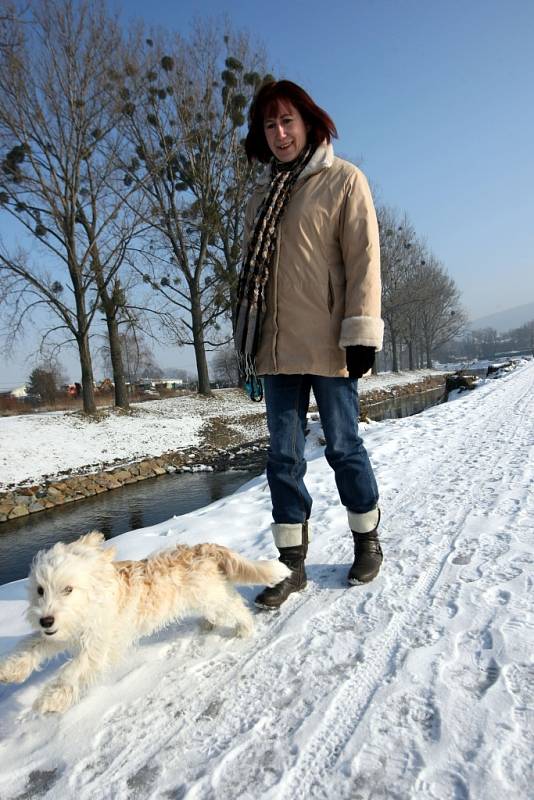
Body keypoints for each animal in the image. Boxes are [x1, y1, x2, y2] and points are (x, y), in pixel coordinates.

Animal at [0, 532, 288, 712]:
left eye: (68, 589)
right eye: (40, 590)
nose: (45, 620)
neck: (92, 601)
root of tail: (205, 548)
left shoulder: (99, 643)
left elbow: (75, 669)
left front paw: (51, 699)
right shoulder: (62, 632)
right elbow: (32, 646)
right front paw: (9, 671)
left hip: (213, 595)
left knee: (235, 605)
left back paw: (245, 628)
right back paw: (208, 624)